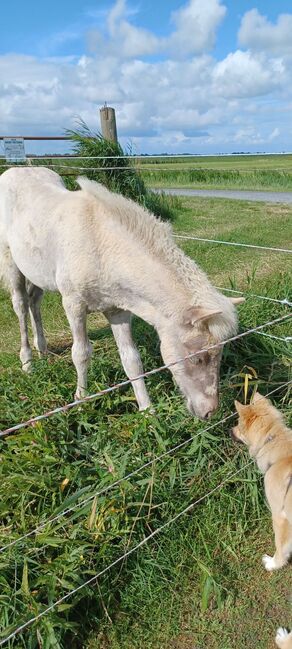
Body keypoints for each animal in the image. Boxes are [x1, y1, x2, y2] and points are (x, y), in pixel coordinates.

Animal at [0, 168, 242, 420]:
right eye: (197, 357)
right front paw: (81, 399)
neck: (100, 244)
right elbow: (81, 353)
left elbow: (132, 360)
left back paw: (43, 351)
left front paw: (147, 411)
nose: (210, 412)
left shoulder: (118, 310)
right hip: (11, 263)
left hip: (37, 272)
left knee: (34, 302)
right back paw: (28, 362)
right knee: (20, 305)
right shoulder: (73, 305)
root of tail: (16, 170)